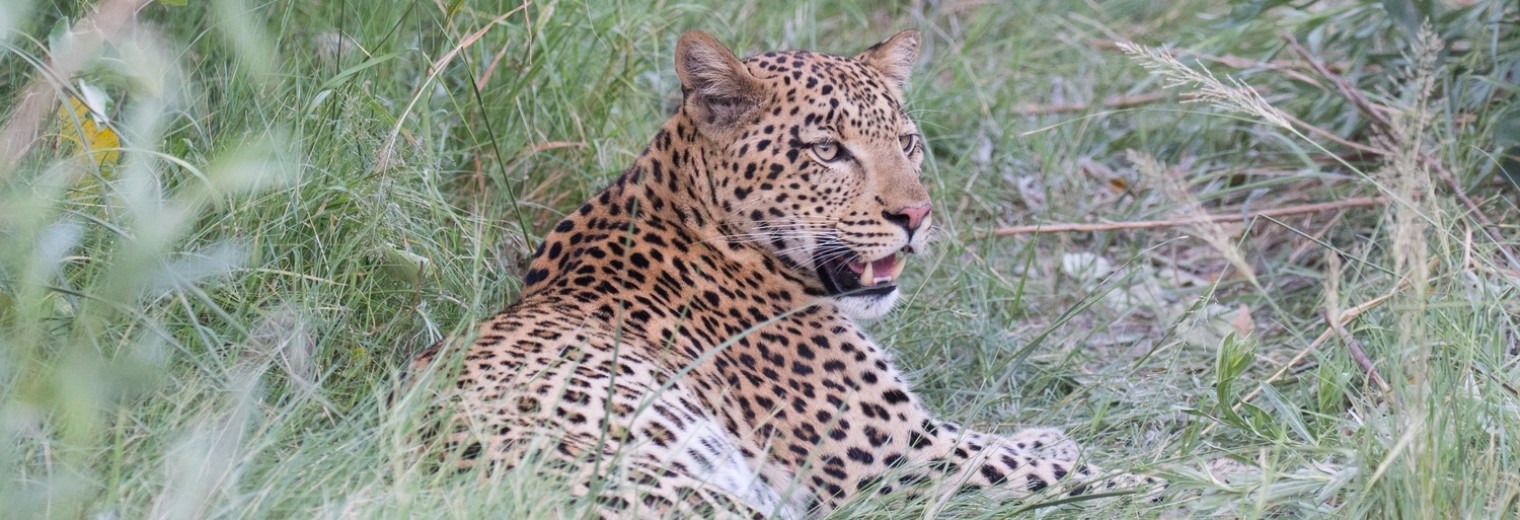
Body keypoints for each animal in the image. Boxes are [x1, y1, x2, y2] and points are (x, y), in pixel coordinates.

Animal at [410, 29, 1155, 520]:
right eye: (827, 151)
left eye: (907, 143)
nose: (916, 214)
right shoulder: (891, 459)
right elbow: (1058, 476)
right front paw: (1157, 480)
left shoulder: (917, 437)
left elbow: (1007, 441)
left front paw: (1057, 437)